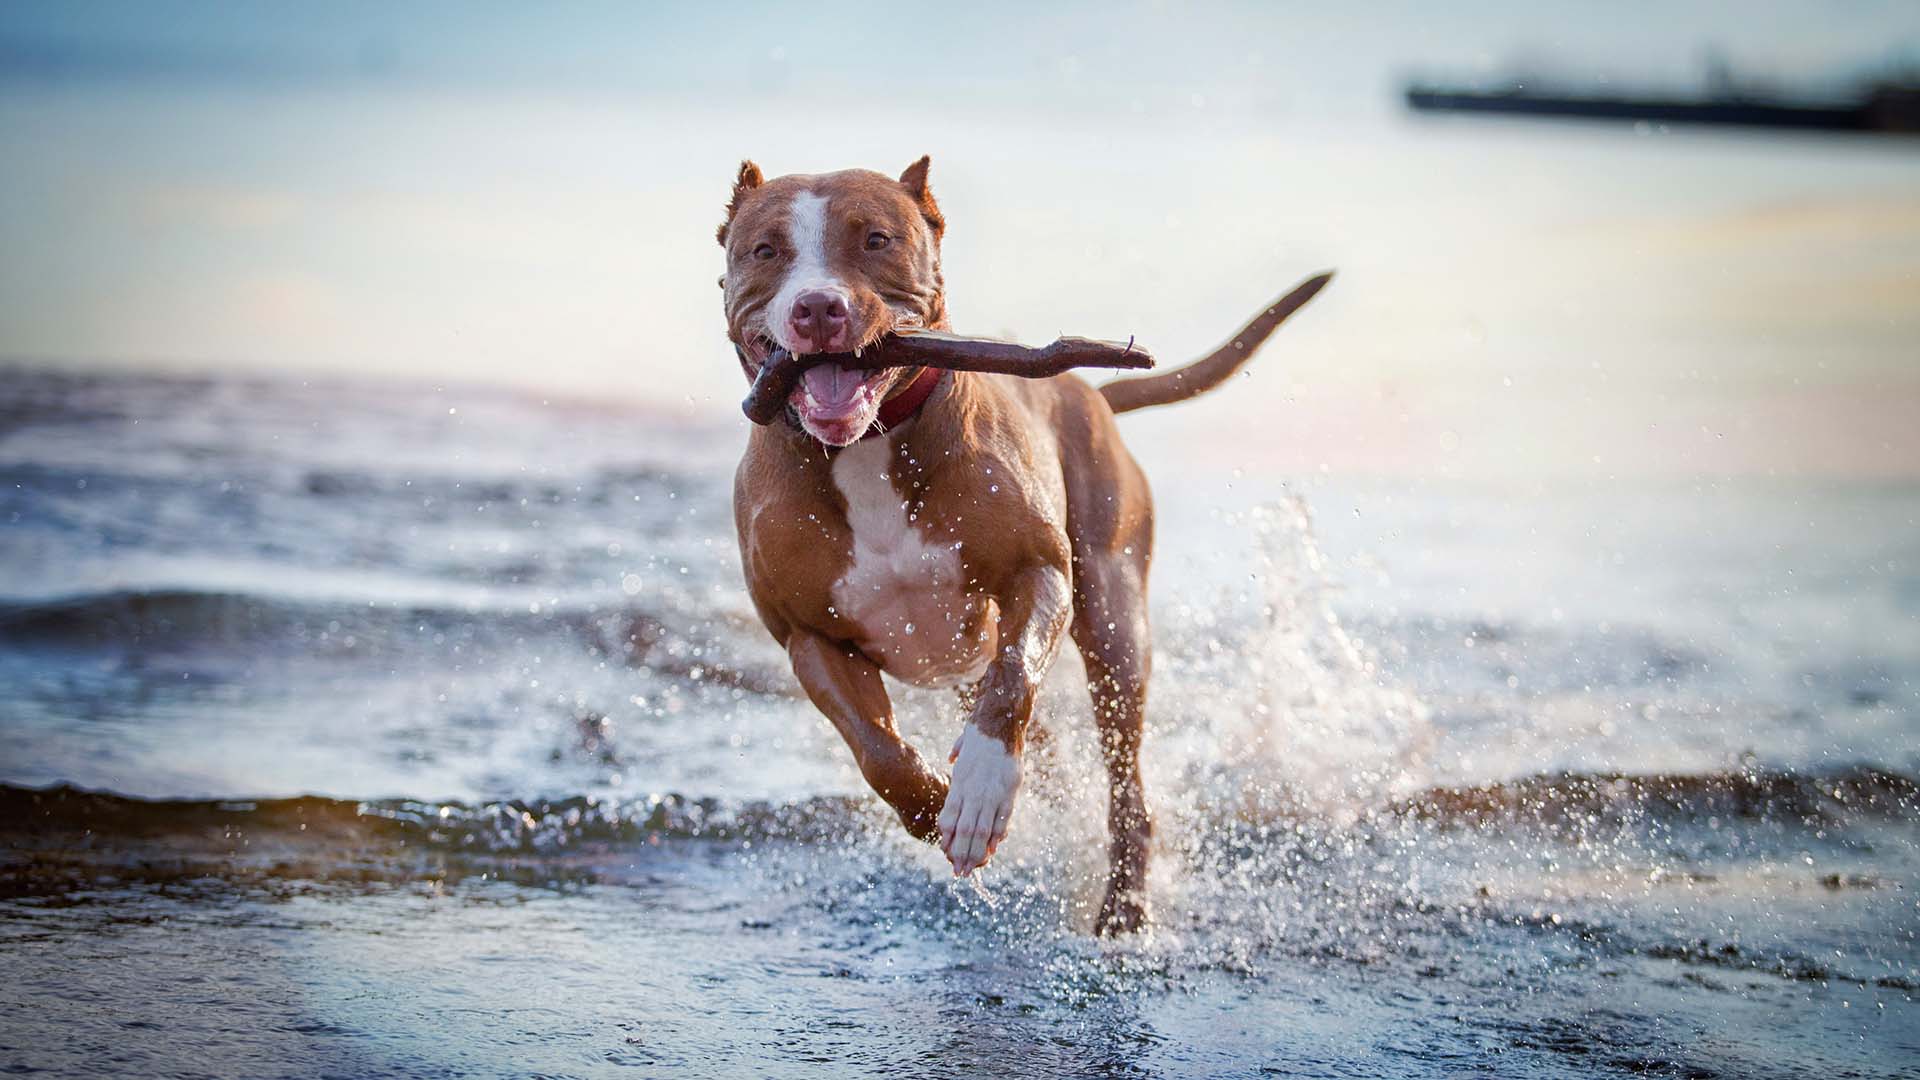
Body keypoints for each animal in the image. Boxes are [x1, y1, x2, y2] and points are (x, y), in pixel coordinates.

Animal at [714, 153, 1328, 933]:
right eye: (766, 251)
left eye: (877, 239)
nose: (818, 308)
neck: (869, 445)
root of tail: (1088, 391)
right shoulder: (809, 636)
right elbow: (878, 750)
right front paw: (933, 805)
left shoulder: (1037, 575)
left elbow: (1012, 681)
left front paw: (979, 791)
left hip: (1114, 618)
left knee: (1125, 779)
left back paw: (1123, 909)